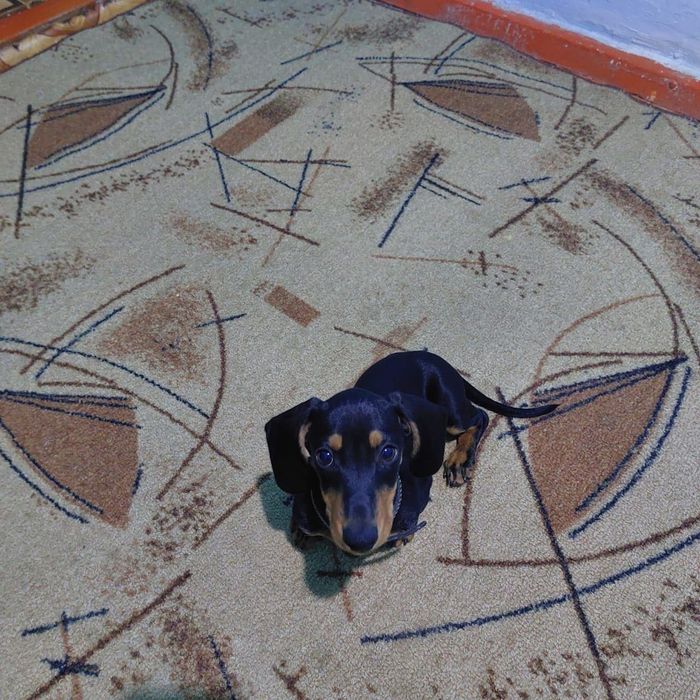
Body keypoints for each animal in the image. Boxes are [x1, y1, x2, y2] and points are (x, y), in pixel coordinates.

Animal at [265, 351, 556, 556]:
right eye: (323, 456)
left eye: (388, 452)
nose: (360, 540)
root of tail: (433, 357)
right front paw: (300, 529)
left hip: (450, 408)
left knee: (479, 417)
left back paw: (460, 459)